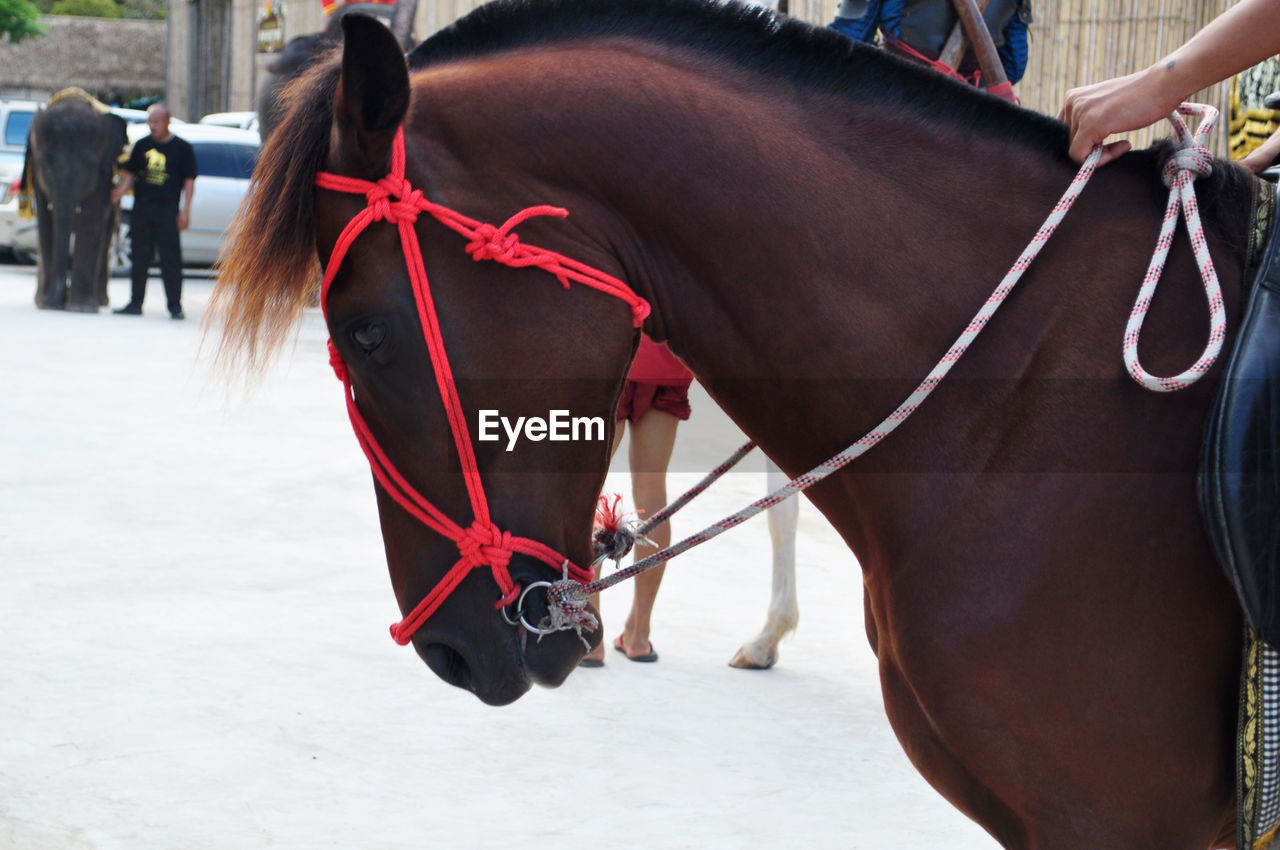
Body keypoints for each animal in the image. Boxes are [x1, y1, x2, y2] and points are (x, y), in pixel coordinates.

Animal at [22, 91, 129, 311]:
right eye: (45, 164)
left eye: (89, 165)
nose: (59, 300)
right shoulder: (37, 176)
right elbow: (46, 222)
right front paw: (47, 305)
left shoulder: (103, 172)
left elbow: (90, 219)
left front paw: (81, 308)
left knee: (105, 236)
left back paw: (100, 301)